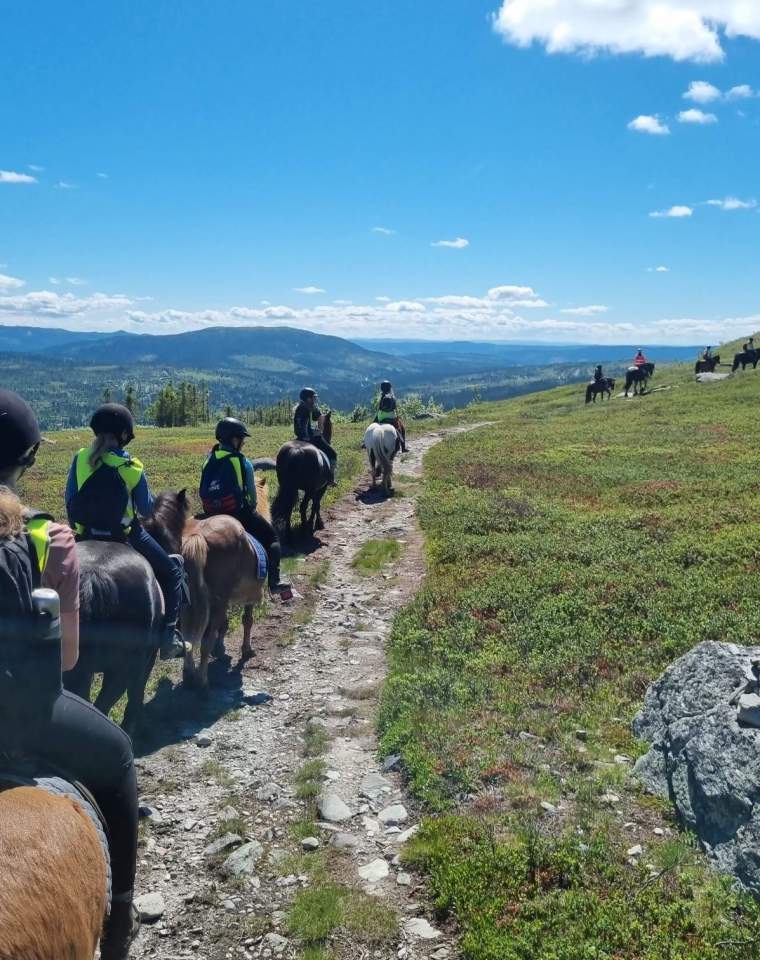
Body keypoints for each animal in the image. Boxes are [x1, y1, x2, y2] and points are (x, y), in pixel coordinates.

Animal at [144, 476, 272, 688]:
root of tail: (197, 537)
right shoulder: (245, 599)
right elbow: (247, 621)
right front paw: (246, 649)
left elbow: (224, 624)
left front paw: (220, 649)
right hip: (215, 602)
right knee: (205, 639)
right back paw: (202, 681)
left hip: (188, 600)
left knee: (188, 635)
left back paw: (189, 672)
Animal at [274, 412, 332, 544]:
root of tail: (295, 451)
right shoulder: (321, 488)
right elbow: (316, 505)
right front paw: (316, 524)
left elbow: (316, 505)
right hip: (309, 490)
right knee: (303, 507)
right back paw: (304, 530)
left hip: (289, 488)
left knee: (289, 508)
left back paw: (289, 536)